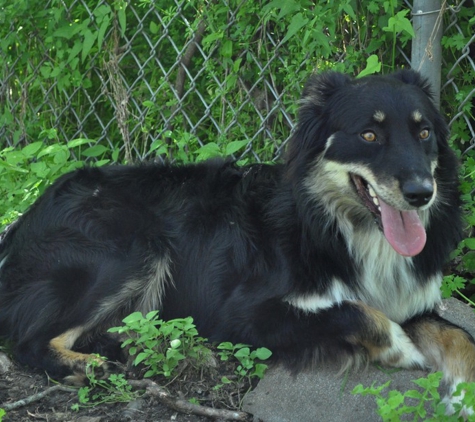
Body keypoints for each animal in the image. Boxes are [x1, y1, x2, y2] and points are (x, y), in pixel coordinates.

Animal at [0, 71, 474, 408]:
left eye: (424, 132)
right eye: (369, 135)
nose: (421, 193)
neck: (339, 224)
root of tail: (21, 225)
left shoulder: (413, 300)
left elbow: (460, 338)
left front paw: (464, 394)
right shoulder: (246, 313)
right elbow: (356, 312)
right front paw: (401, 348)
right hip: (133, 247)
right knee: (29, 342)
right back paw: (93, 367)